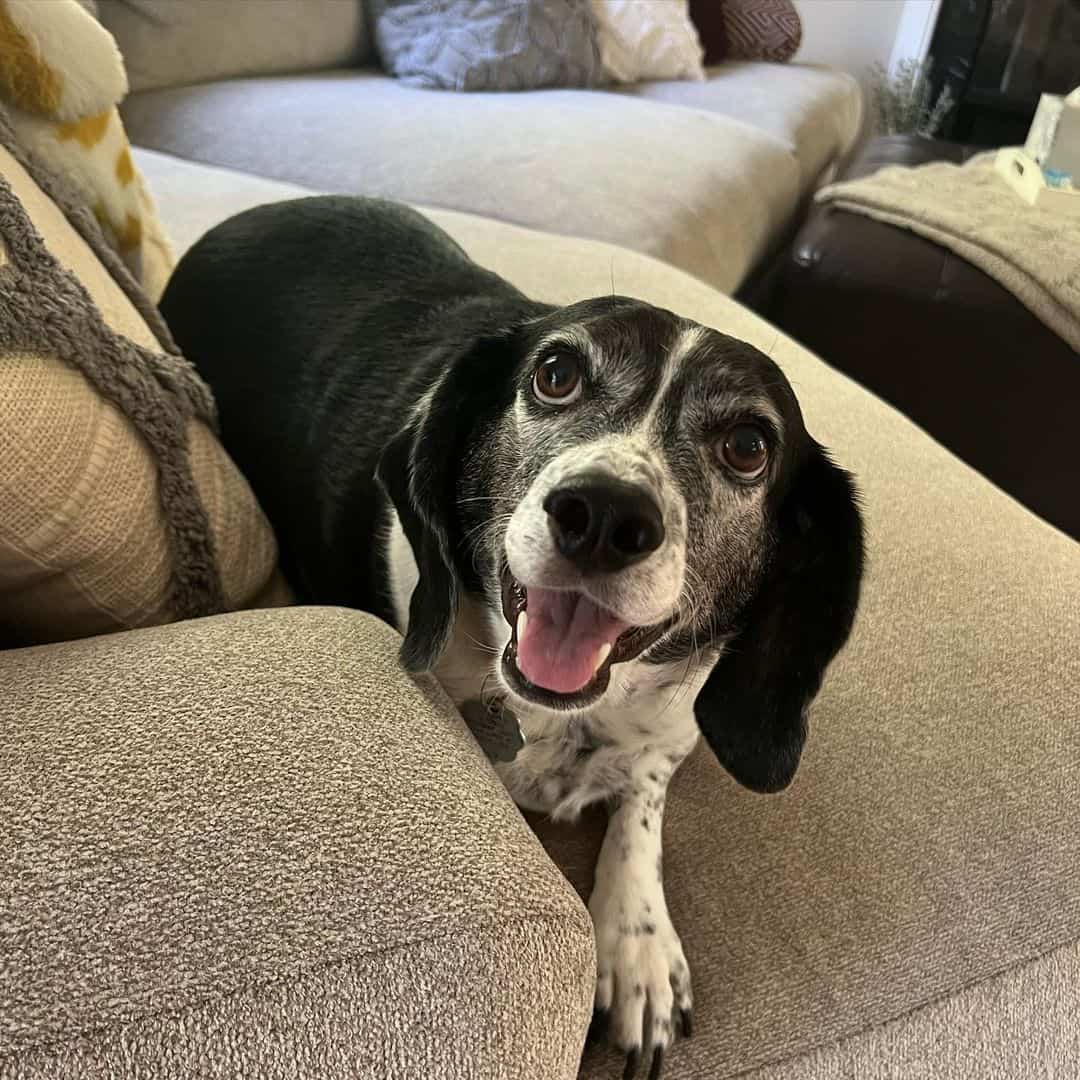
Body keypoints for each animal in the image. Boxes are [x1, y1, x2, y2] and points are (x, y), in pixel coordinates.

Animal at [159, 196, 864, 1080]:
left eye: (747, 447)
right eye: (555, 374)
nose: (604, 513)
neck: (567, 715)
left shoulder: (673, 730)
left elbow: (642, 806)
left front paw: (637, 944)